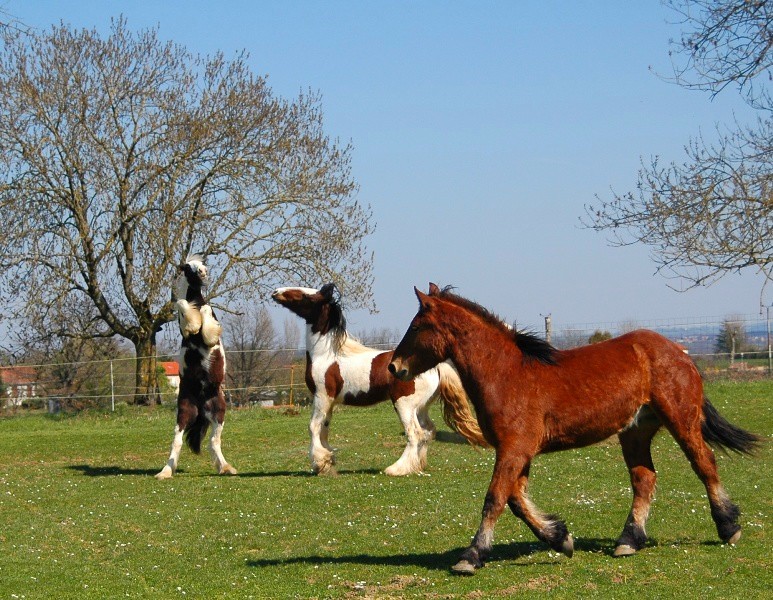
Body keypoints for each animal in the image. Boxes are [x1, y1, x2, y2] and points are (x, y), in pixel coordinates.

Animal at [153, 255, 232, 480]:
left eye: (203, 264)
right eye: (188, 268)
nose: (203, 273)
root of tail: (201, 404)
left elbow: (206, 313)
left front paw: (201, 323)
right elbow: (181, 303)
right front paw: (193, 324)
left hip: (219, 412)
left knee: (214, 442)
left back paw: (226, 468)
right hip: (183, 414)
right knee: (177, 442)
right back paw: (165, 472)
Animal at [268, 284, 480, 476]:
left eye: (306, 296)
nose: (276, 292)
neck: (326, 355)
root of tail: (437, 367)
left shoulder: (322, 397)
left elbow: (313, 427)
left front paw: (320, 463)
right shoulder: (330, 403)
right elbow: (324, 429)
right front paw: (327, 463)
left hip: (404, 405)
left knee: (415, 433)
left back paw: (397, 469)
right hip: (421, 408)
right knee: (428, 431)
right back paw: (417, 466)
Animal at [390, 284, 756, 576]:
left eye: (417, 326)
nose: (395, 367)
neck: (506, 374)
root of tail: (679, 352)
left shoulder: (514, 449)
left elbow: (495, 498)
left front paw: (472, 556)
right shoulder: (518, 451)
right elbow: (516, 501)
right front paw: (560, 538)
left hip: (681, 420)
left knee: (704, 464)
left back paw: (728, 527)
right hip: (635, 432)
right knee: (644, 478)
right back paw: (629, 540)